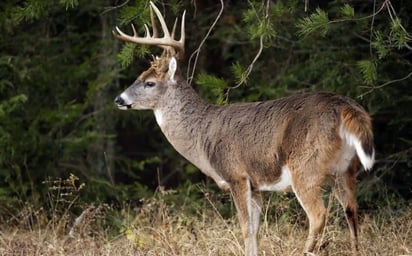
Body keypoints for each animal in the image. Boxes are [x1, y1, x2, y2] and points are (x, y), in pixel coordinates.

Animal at [112, 1, 374, 254]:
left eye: (149, 83)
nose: (119, 99)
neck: (201, 135)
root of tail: (343, 106)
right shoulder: (256, 184)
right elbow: (256, 230)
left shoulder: (236, 174)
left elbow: (246, 228)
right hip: (345, 167)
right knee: (352, 209)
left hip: (306, 165)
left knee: (318, 214)